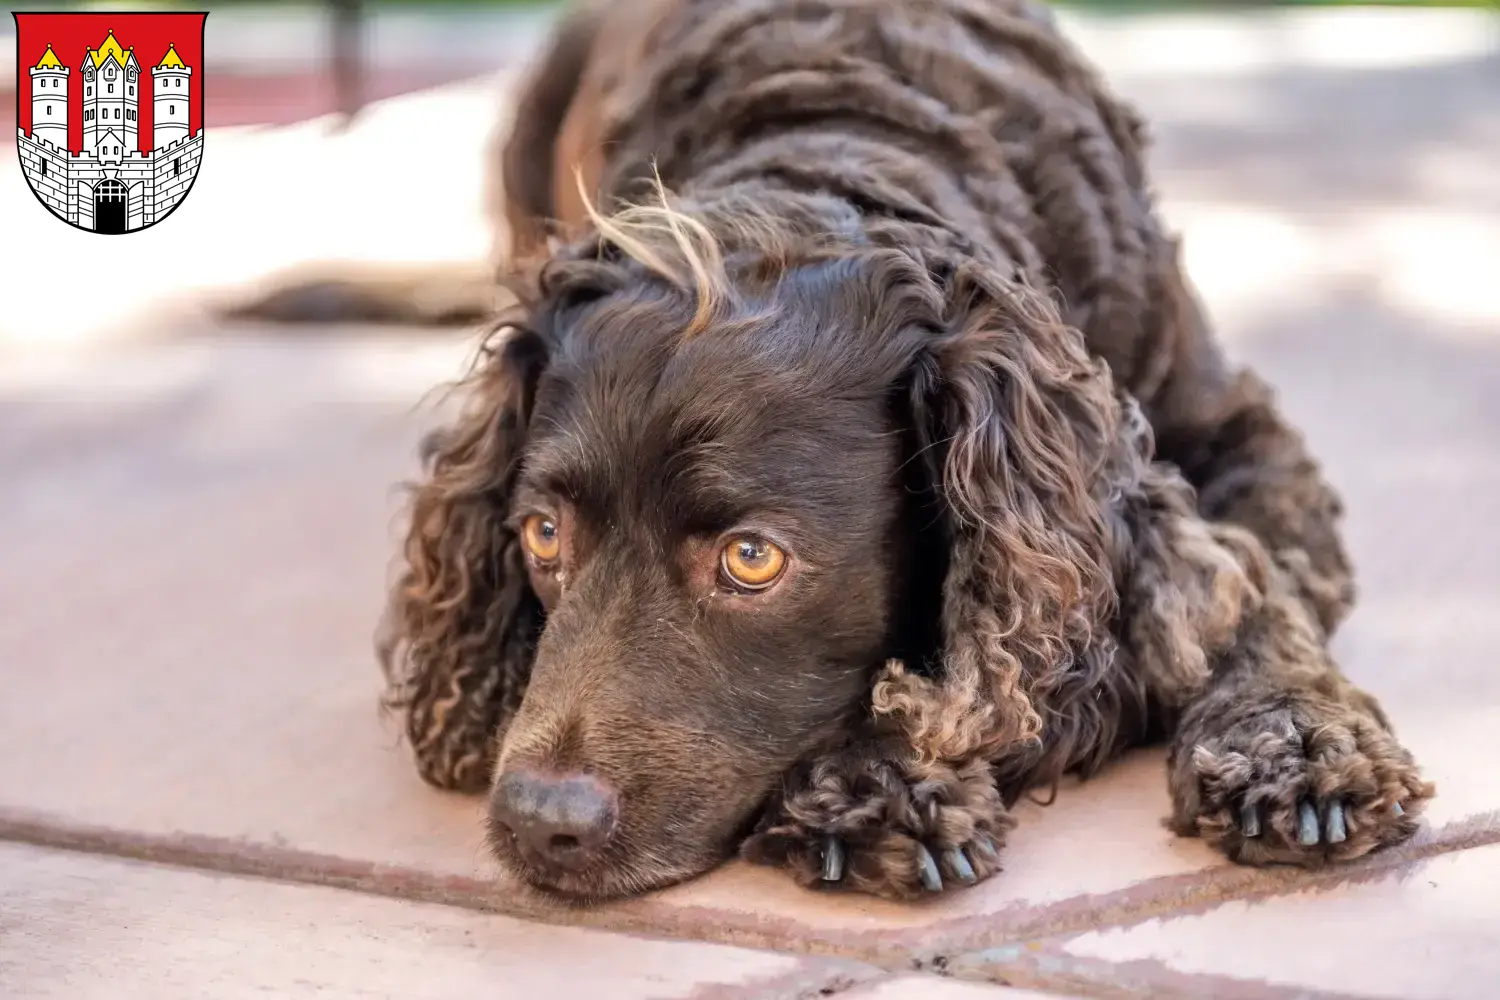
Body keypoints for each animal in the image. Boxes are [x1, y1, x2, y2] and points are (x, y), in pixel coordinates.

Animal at [360, 0, 1428, 905]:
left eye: (753, 558)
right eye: (543, 535)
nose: (538, 823)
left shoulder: (1241, 442)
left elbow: (1255, 592)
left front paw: (1295, 742)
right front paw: (879, 778)